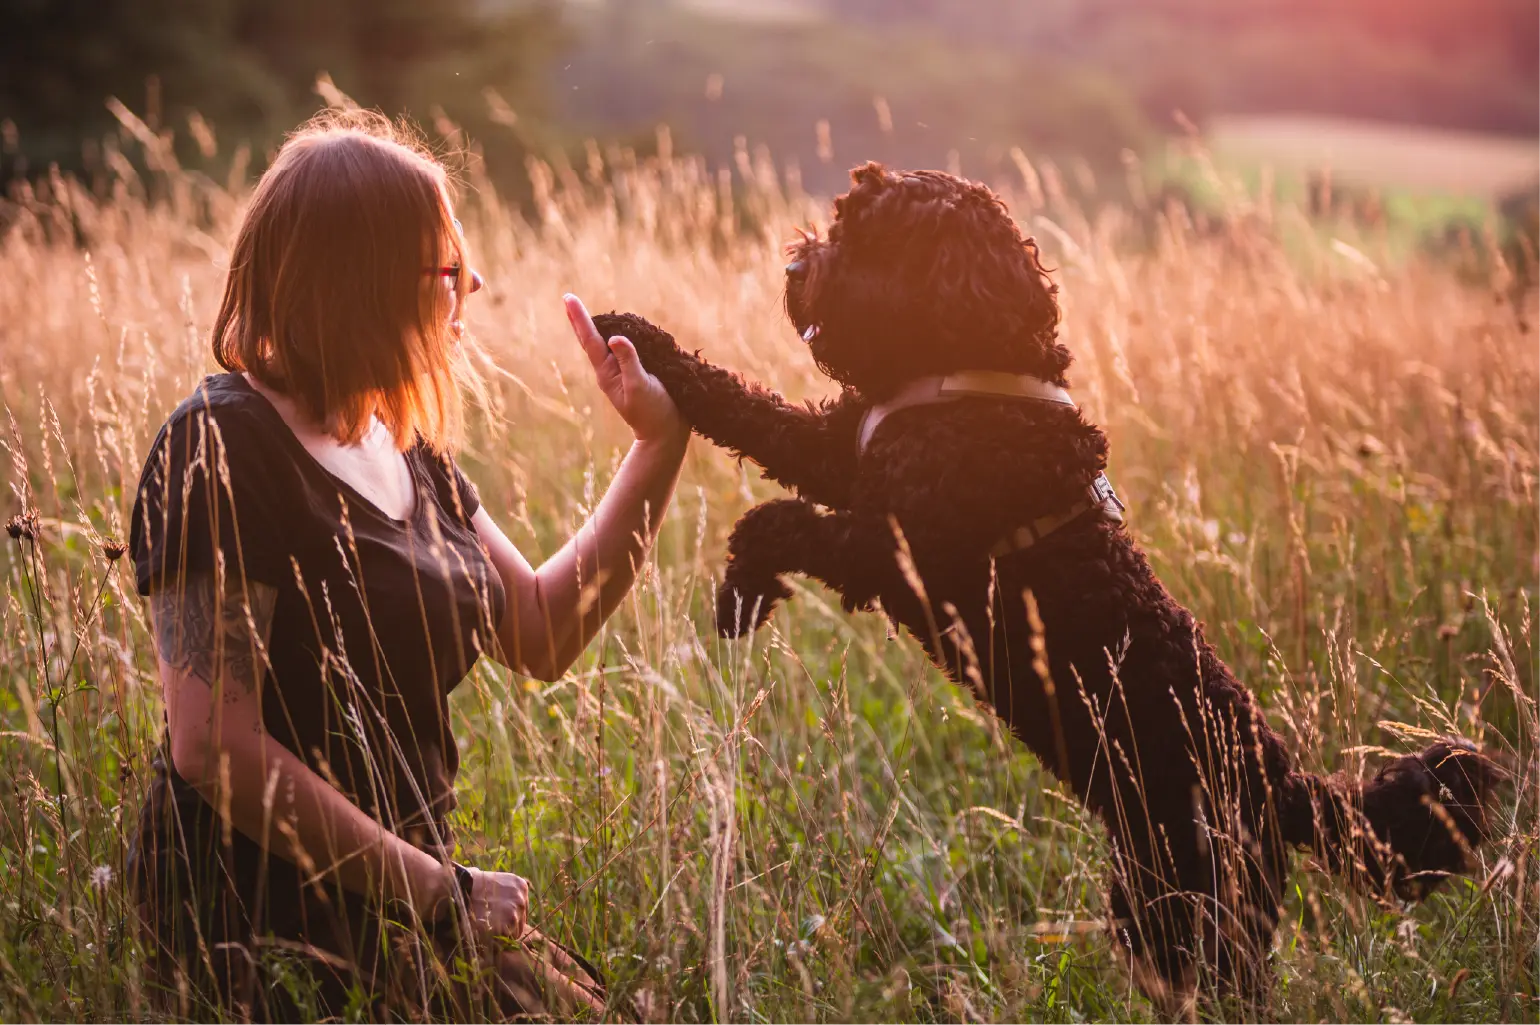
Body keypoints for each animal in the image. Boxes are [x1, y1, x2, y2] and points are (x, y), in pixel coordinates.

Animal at [594, 163, 1496, 1003]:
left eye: (870, 239)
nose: (793, 267)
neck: (970, 369)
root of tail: (1283, 783)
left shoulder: (894, 547)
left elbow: (778, 522)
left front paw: (742, 590)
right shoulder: (840, 453)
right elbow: (740, 404)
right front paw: (631, 333)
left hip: (1197, 899)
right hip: (1153, 893)